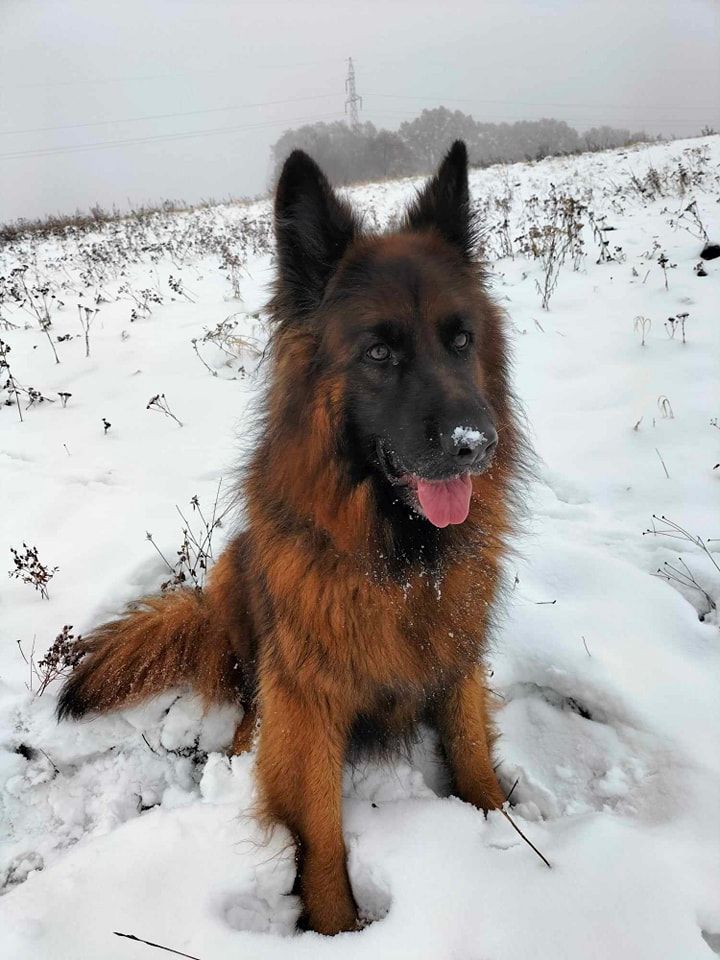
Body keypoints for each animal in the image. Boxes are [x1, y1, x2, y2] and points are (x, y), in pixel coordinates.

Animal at [58, 140, 525, 935]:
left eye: (462, 340)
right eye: (379, 354)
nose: (476, 444)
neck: (398, 562)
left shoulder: (455, 656)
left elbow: (472, 758)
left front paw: (513, 839)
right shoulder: (306, 699)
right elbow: (319, 828)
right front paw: (334, 925)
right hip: (235, 572)